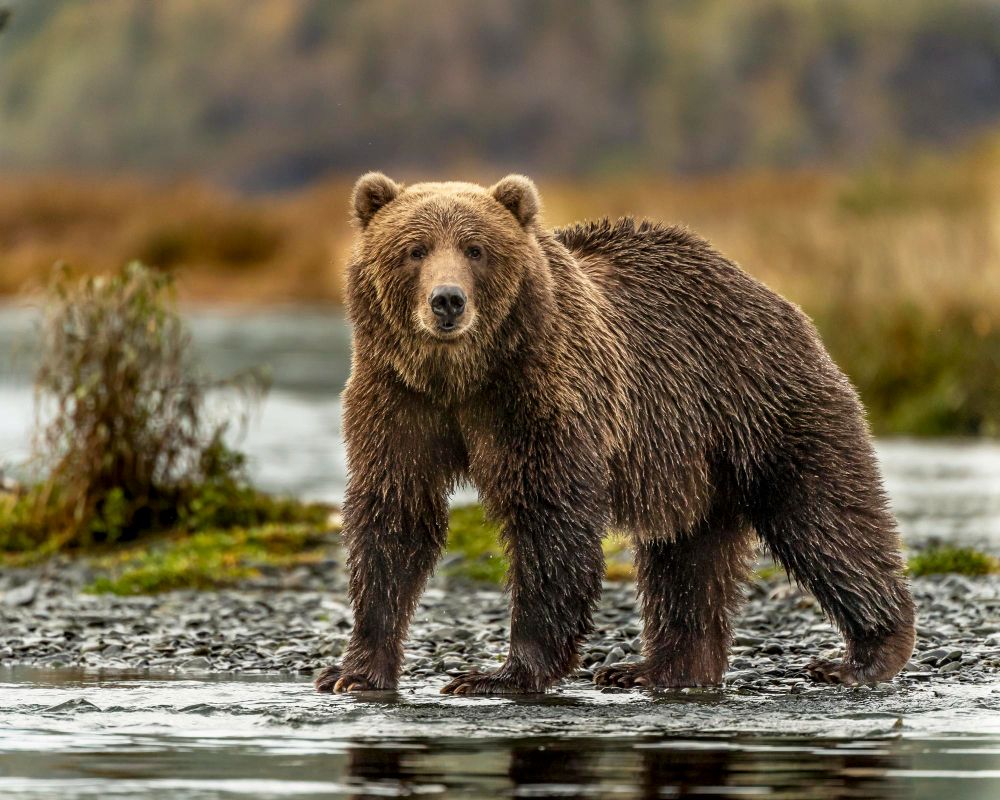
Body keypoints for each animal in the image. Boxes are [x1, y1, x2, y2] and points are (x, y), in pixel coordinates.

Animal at [314, 172, 916, 695]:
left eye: (476, 249)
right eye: (415, 249)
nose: (447, 301)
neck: (462, 377)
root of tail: (772, 295)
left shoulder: (540, 397)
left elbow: (549, 519)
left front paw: (499, 674)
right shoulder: (397, 400)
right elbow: (395, 517)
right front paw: (353, 671)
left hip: (761, 402)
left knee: (824, 517)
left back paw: (863, 654)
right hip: (692, 459)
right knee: (686, 556)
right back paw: (656, 668)